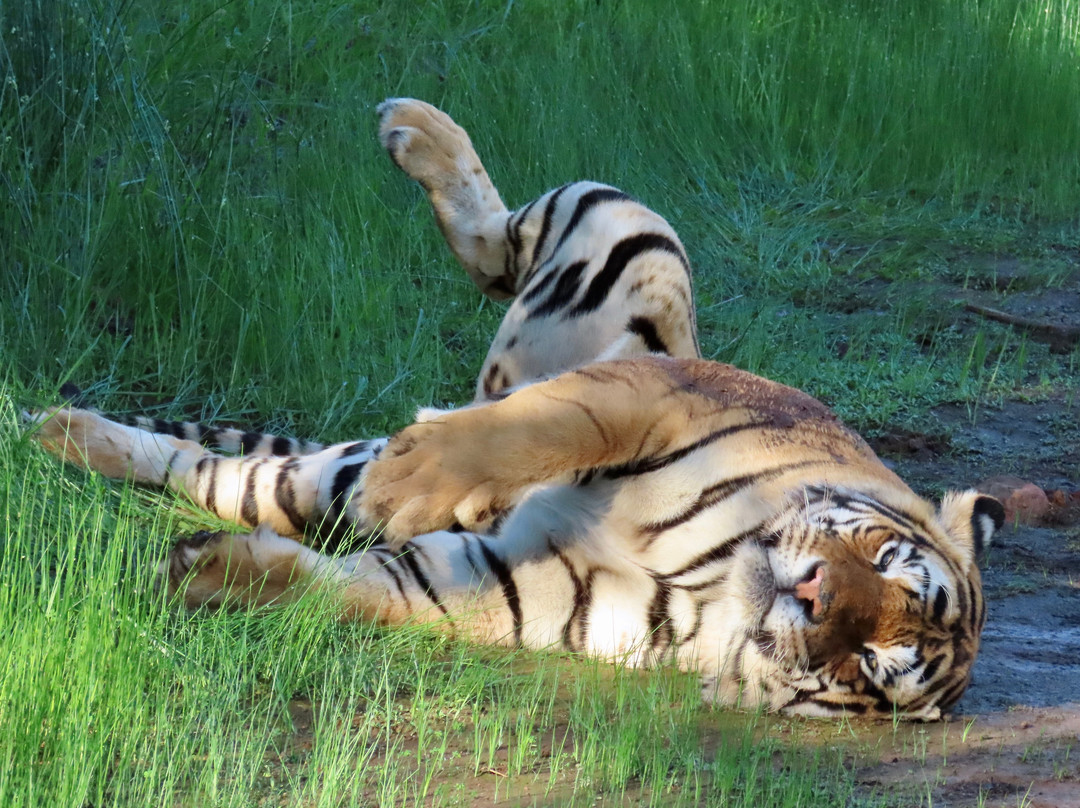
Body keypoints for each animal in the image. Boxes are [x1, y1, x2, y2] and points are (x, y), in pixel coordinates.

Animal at [30, 98, 1004, 719]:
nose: (809, 593)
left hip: (301, 483)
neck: (716, 584)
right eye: (883, 556)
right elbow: (551, 423)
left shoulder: (520, 588)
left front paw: (206, 574)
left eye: (874, 664)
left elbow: (356, 589)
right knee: (501, 249)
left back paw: (63, 434)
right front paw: (421, 479)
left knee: (209, 468)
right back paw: (411, 127)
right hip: (634, 237)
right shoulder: (659, 394)